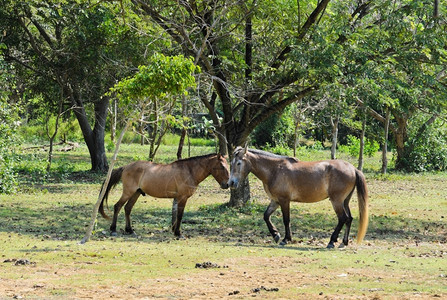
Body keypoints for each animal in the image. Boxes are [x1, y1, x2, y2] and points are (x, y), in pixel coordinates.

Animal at [99, 154, 229, 238]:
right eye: (222, 166)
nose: (227, 184)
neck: (189, 171)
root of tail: (126, 167)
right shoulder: (182, 198)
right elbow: (180, 215)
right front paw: (178, 233)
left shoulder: (177, 198)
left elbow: (176, 215)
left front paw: (174, 230)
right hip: (128, 192)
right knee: (118, 206)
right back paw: (113, 230)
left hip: (136, 193)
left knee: (127, 208)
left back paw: (130, 230)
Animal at [229, 146, 370, 248]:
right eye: (231, 163)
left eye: (239, 163)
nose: (231, 183)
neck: (274, 170)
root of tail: (353, 169)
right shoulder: (275, 201)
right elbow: (266, 216)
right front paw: (275, 235)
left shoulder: (284, 201)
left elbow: (286, 220)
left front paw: (285, 239)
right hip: (345, 201)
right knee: (349, 219)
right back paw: (343, 242)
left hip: (336, 201)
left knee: (342, 218)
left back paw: (331, 241)